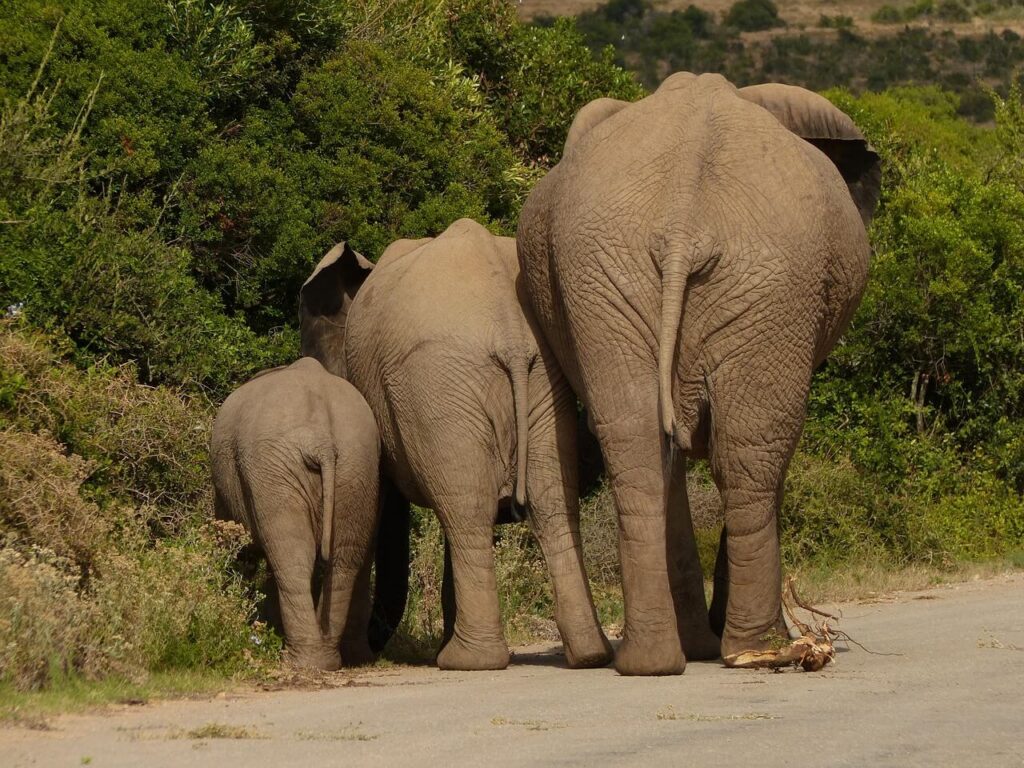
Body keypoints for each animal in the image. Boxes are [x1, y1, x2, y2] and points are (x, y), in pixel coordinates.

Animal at [209, 358, 382, 671]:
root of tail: (323, 441)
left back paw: (297, 662)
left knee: (292, 557)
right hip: (357, 465)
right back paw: (323, 662)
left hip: (275, 470)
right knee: (343, 558)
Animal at [299, 219, 610, 671]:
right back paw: (589, 655)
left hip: (435, 381)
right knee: (547, 504)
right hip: (539, 383)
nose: (378, 645)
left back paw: (466, 660)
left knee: (467, 511)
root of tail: (509, 327)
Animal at [516, 72, 884, 671]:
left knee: (637, 442)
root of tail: (682, 222)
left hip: (607, 273)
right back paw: (759, 647)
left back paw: (652, 661)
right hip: (773, 286)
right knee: (751, 451)